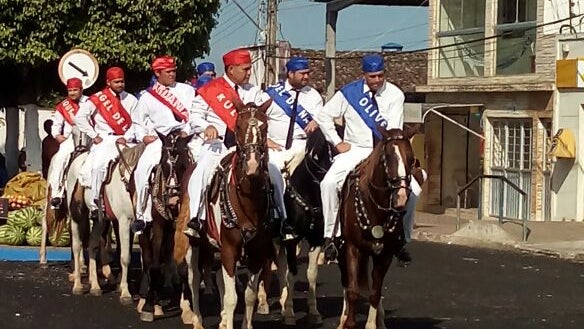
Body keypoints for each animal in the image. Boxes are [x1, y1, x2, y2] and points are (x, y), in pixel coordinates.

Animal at [336, 127, 418, 328]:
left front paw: (372, 323)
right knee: (346, 281)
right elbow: (353, 290)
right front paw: (349, 322)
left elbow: (375, 293)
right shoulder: (352, 249)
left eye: (411, 158)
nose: (401, 197)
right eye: (386, 157)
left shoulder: (385, 254)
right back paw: (343, 318)